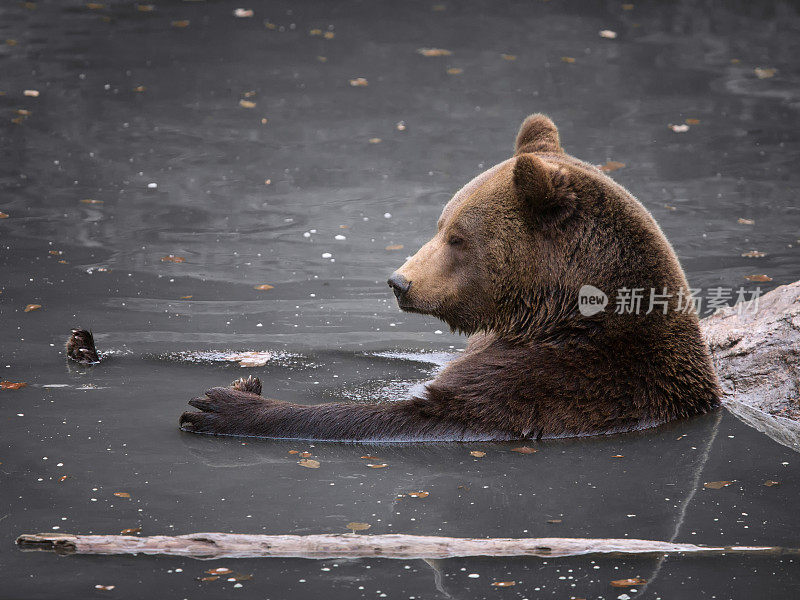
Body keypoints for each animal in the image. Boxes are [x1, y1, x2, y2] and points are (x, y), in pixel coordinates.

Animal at [180, 115, 720, 440]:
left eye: (459, 237)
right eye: (441, 223)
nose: (400, 282)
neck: (552, 314)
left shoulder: (555, 382)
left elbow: (412, 415)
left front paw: (223, 403)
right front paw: (244, 379)